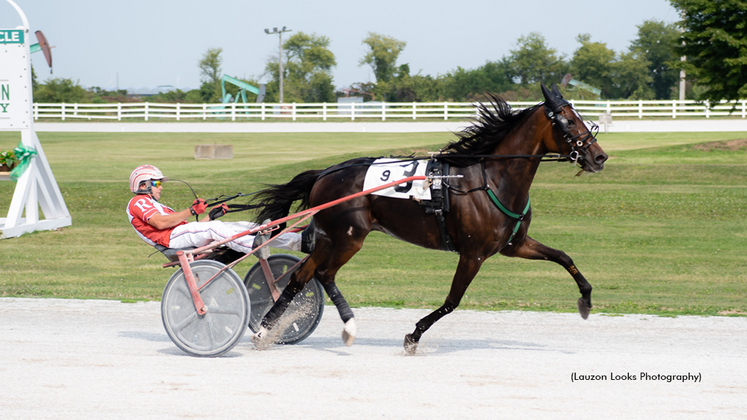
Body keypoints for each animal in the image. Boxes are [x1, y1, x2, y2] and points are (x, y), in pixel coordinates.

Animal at [251, 83, 608, 352]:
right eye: (567, 120)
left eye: (580, 118)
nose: (599, 157)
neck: (491, 180)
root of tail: (324, 173)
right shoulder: (473, 254)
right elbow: (452, 301)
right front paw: (414, 335)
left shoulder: (514, 245)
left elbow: (563, 256)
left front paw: (586, 299)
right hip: (350, 238)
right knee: (325, 274)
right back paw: (348, 326)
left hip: (330, 238)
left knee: (301, 277)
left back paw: (264, 330)